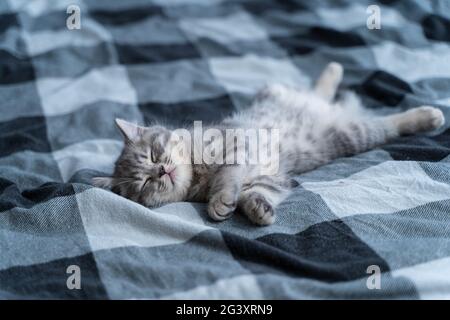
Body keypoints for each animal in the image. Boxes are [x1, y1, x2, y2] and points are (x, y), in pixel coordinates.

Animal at [93, 62, 444, 226]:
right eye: (144, 183)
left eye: (154, 154)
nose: (162, 171)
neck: (198, 173)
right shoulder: (270, 177)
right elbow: (255, 193)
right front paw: (257, 210)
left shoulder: (237, 143)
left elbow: (228, 175)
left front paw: (221, 199)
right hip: (348, 134)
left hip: (344, 129)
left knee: (387, 121)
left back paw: (429, 114)